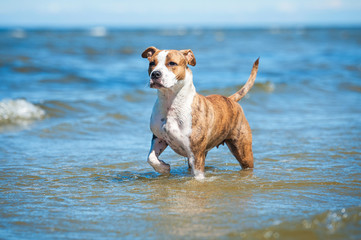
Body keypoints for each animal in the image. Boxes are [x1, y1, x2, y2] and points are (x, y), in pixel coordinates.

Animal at [142, 46, 258, 180]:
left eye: (172, 63)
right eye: (152, 63)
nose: (155, 74)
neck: (170, 103)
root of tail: (231, 100)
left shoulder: (196, 154)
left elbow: (198, 177)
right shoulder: (159, 138)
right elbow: (151, 157)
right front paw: (163, 167)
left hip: (243, 150)